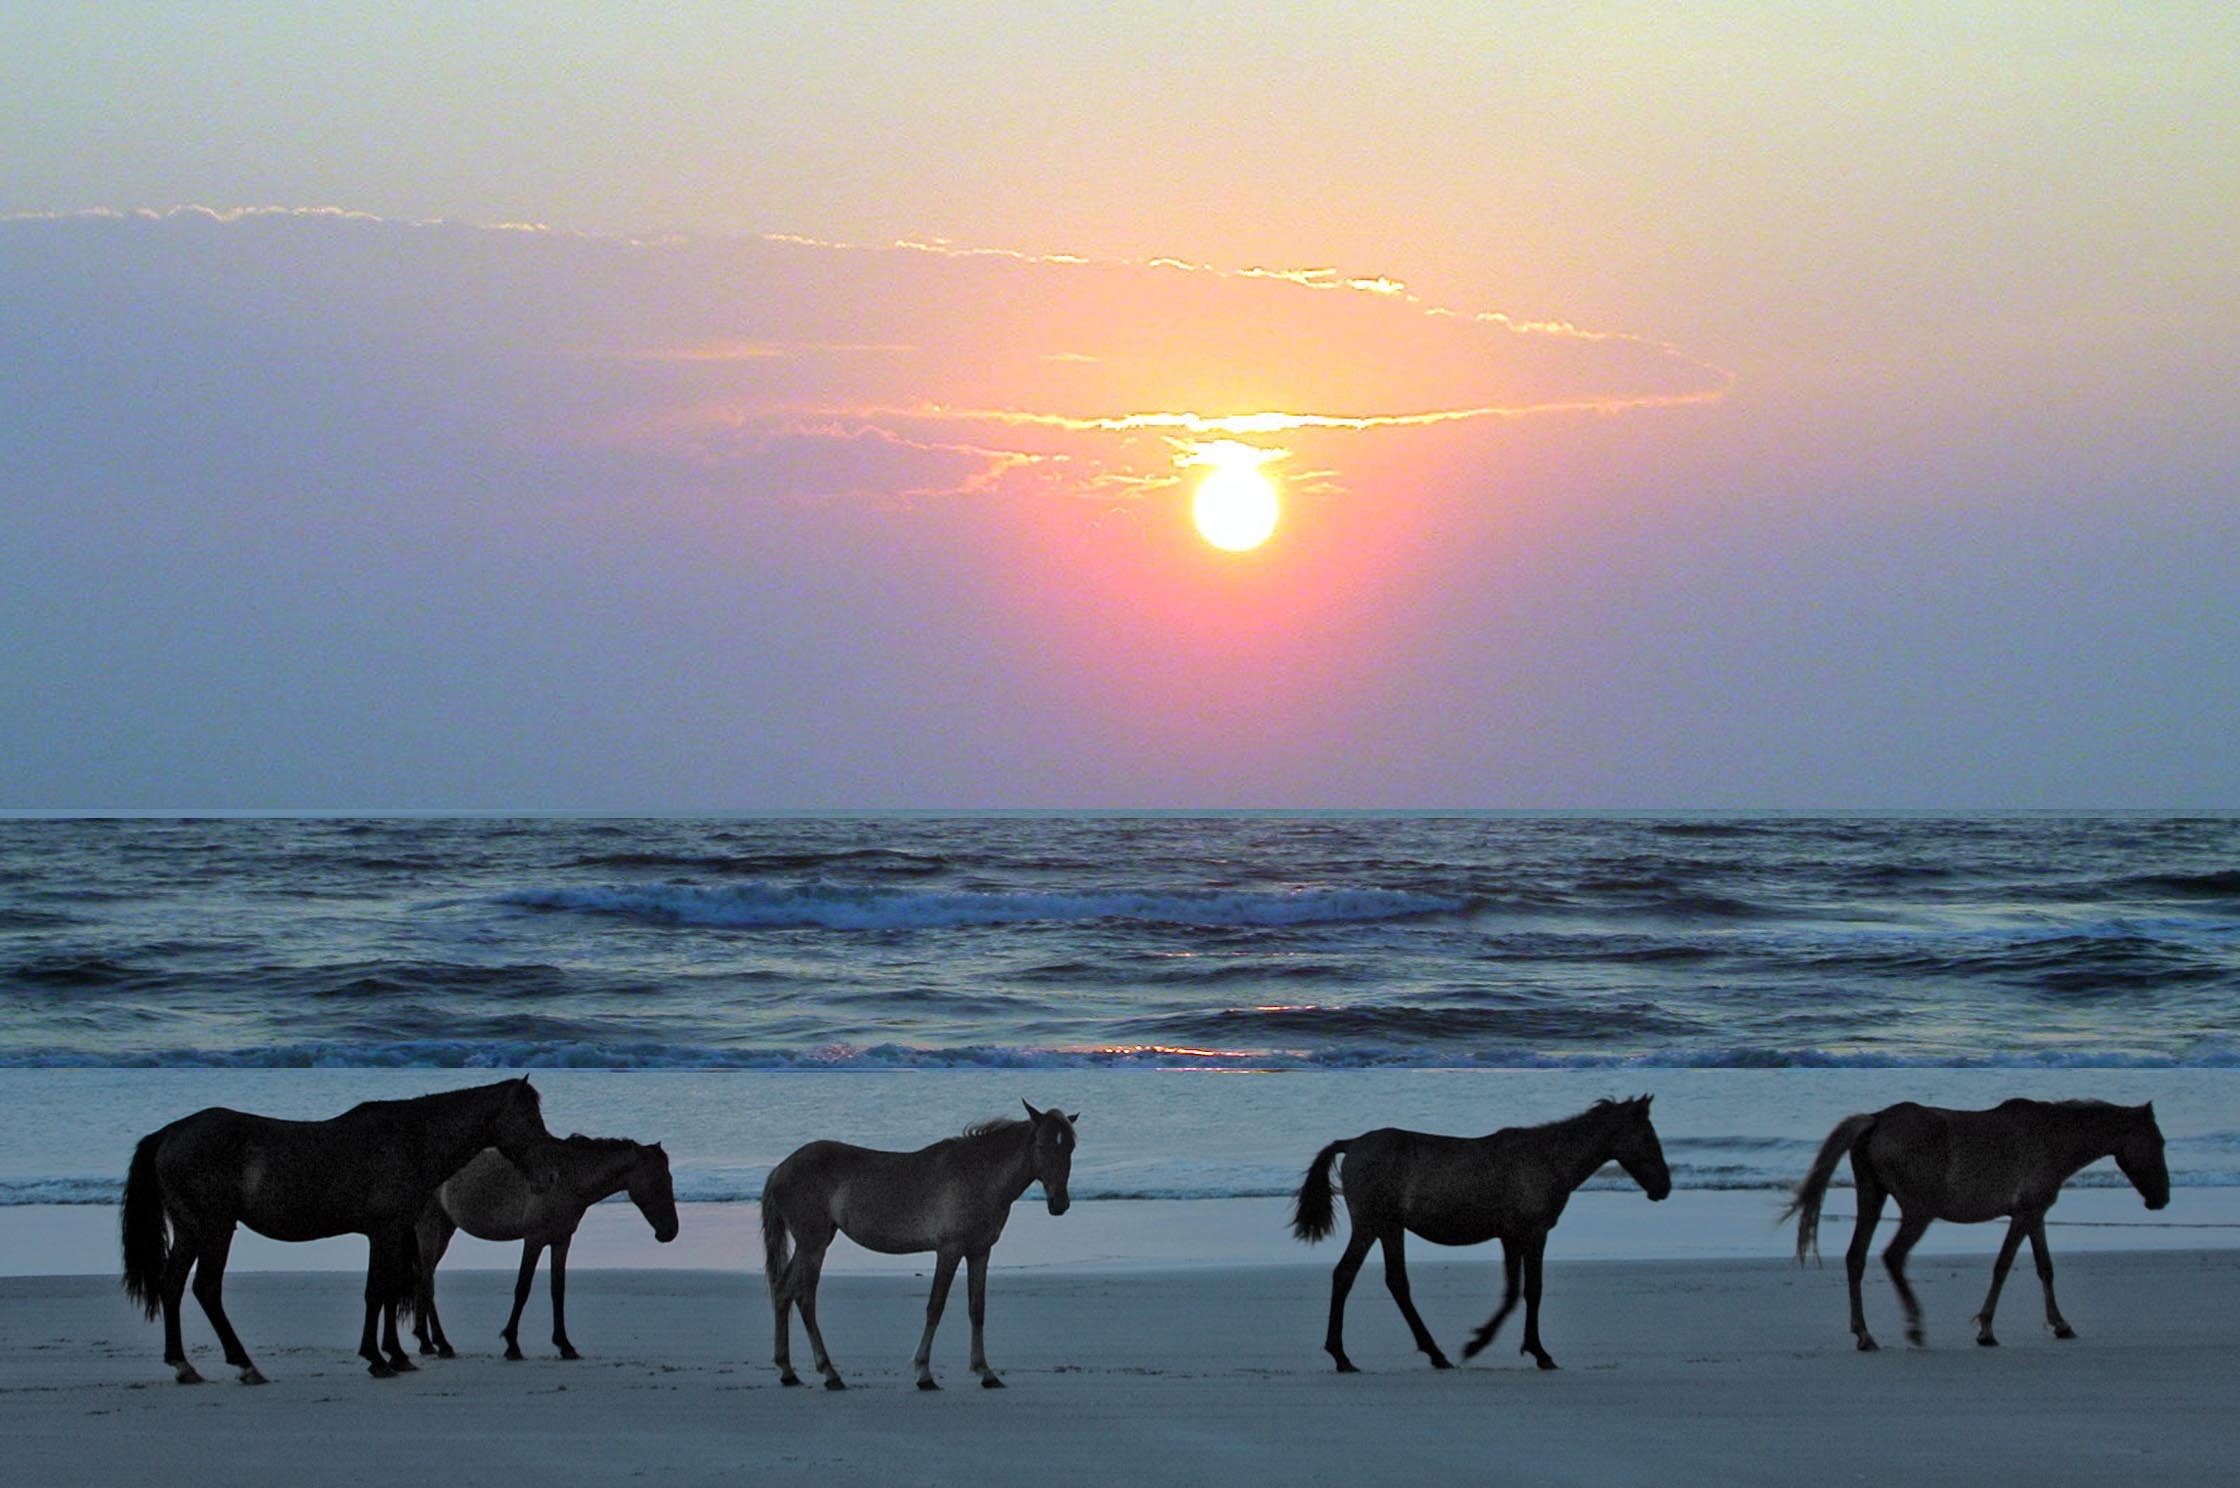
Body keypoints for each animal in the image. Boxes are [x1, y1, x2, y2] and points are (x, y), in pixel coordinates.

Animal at [119, 1080, 555, 1380]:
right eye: (527, 1120)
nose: (549, 1176)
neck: (410, 1140)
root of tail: (169, 1133)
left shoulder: (391, 1233)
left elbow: (387, 1289)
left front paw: (395, 1354)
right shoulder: (384, 1230)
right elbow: (378, 1291)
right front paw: (378, 1358)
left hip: (190, 1230)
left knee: (173, 1286)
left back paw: (183, 1365)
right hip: (215, 1229)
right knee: (206, 1289)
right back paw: (245, 1365)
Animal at [409, 1138, 672, 1362]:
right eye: (658, 1182)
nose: (670, 1232)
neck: (566, 1178)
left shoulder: (561, 1241)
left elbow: (558, 1290)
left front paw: (565, 1345)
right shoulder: (534, 1240)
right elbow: (522, 1288)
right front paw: (512, 1344)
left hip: (444, 1228)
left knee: (424, 1278)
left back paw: (426, 1342)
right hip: (430, 1227)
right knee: (427, 1282)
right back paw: (442, 1344)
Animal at [761, 1098, 1075, 1389]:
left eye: (1071, 1147)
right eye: (1042, 1145)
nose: (1059, 1204)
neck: (980, 1175)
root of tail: (780, 1169)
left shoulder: (979, 1252)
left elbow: (977, 1309)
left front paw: (985, 1371)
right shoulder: (949, 1250)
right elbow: (935, 1306)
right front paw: (924, 1372)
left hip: (814, 1241)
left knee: (783, 1291)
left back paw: (788, 1371)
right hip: (813, 1244)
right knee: (805, 1298)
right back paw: (829, 1372)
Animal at [1290, 1093, 1675, 1371]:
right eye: (1647, 1136)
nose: (1664, 1187)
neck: (1548, 1158)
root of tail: (1352, 1143)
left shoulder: (1511, 1237)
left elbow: (1514, 1291)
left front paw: (1485, 1342)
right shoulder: (1532, 1234)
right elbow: (1531, 1290)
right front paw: (1529, 1351)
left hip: (1390, 1228)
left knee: (1394, 1282)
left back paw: (1434, 1354)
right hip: (1370, 1225)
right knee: (1346, 1275)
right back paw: (1343, 1356)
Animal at [1783, 1098, 2168, 1353]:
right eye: (2159, 1142)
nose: (2161, 1198)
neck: (2051, 1137)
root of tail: (1875, 1120)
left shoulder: (2034, 1214)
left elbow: (2044, 1267)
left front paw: (2060, 1324)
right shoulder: (2024, 1214)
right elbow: (2003, 1267)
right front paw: (1986, 1329)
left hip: (1872, 1198)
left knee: (1856, 1258)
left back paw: (1865, 1334)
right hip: (1918, 1211)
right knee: (1893, 1256)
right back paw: (1914, 1327)